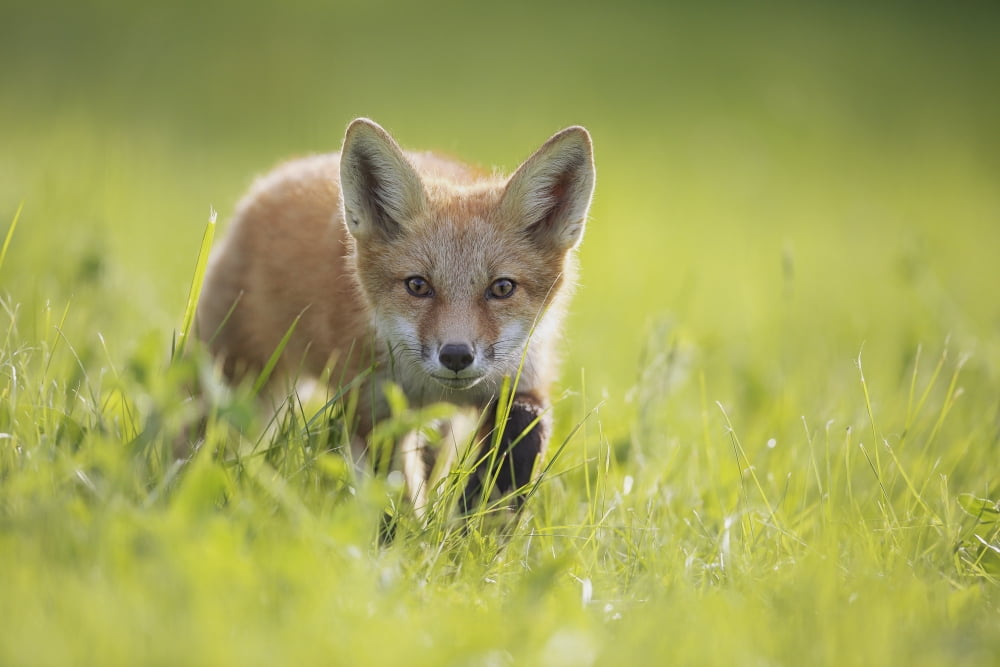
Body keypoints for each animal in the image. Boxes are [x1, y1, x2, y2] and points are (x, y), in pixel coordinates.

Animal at [195, 118, 595, 515]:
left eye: (501, 288)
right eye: (418, 286)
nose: (456, 356)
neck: (431, 386)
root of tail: (285, 170)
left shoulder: (523, 378)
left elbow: (523, 438)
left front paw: (476, 518)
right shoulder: (371, 404)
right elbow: (393, 491)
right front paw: (415, 532)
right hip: (236, 384)